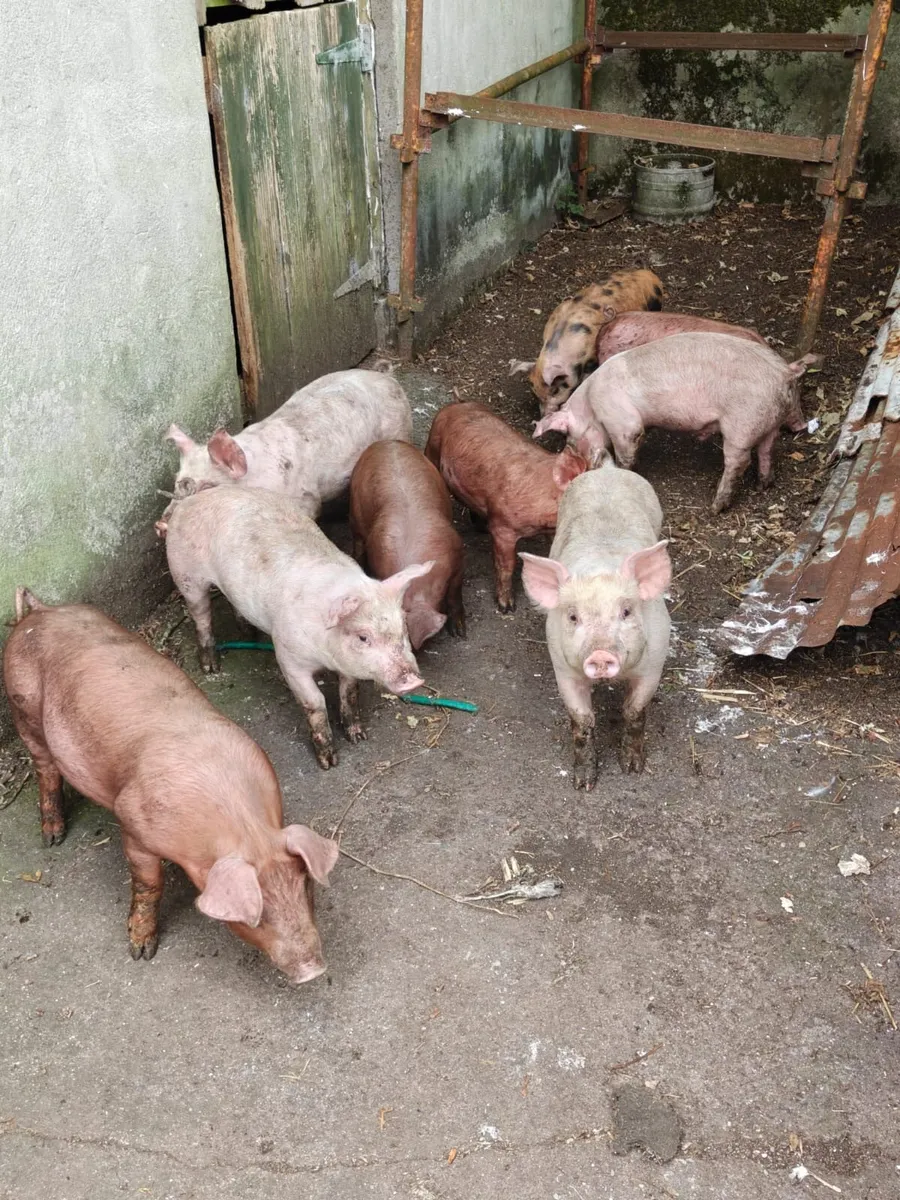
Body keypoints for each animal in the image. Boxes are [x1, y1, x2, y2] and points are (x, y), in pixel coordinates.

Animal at [2, 590, 338, 982]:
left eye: (306, 889)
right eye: (256, 918)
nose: (313, 970)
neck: (241, 826)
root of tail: (40, 612)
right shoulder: (133, 825)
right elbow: (149, 884)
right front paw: (141, 952)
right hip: (22, 706)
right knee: (45, 768)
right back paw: (53, 837)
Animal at [163, 368, 413, 522]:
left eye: (208, 487)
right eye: (177, 482)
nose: (162, 523)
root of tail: (387, 377)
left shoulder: (305, 498)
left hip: (399, 428)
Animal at [164, 486, 429, 770]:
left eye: (403, 627)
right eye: (363, 637)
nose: (413, 680)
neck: (326, 656)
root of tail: (190, 500)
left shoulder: (347, 666)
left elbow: (349, 692)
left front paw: (358, 736)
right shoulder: (288, 657)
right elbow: (315, 702)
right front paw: (329, 763)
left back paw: (249, 634)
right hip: (187, 576)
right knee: (201, 617)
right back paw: (211, 667)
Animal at [519, 462, 671, 789]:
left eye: (626, 611)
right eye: (573, 617)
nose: (601, 653)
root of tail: (608, 469)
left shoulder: (655, 661)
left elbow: (635, 710)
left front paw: (632, 769)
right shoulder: (562, 666)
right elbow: (582, 720)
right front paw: (584, 784)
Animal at [534, 332, 820, 513]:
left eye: (568, 435)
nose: (573, 454)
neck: (591, 403)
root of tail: (784, 372)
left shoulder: (622, 421)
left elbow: (628, 447)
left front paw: (626, 469)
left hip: (741, 423)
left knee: (739, 461)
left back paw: (715, 507)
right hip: (770, 421)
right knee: (767, 450)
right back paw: (763, 485)